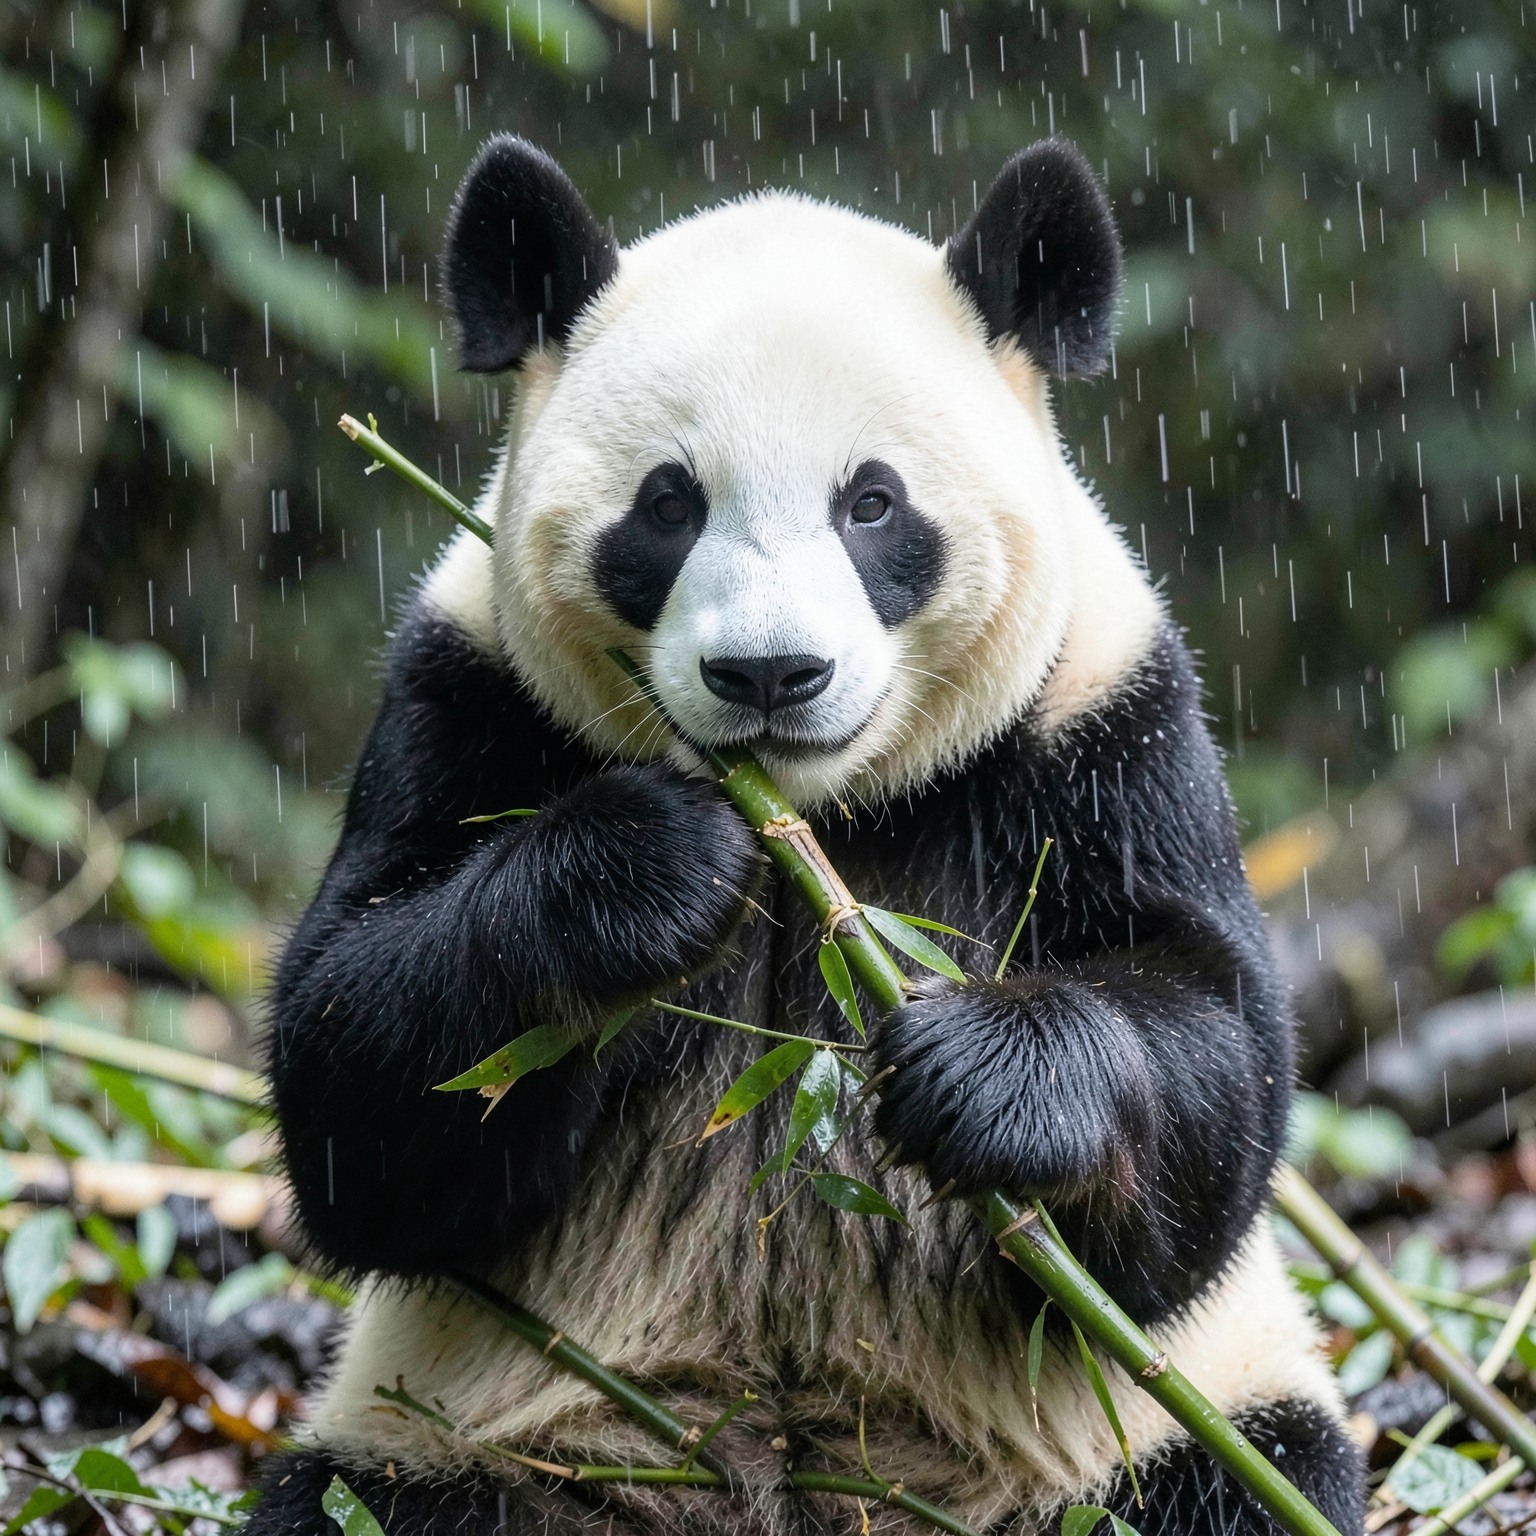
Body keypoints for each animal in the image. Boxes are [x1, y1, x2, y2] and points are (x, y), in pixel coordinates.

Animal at [249, 136, 1365, 1536]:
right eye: (668, 504)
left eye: (873, 504)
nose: (769, 674)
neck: (815, 820)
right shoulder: (465, 691)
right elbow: (357, 1072)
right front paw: (651, 870)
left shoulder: (1106, 716)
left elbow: (1215, 1062)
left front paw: (986, 1074)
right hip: (490, 1437)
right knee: (351, 1498)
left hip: (1135, 1437)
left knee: (1246, 1483)